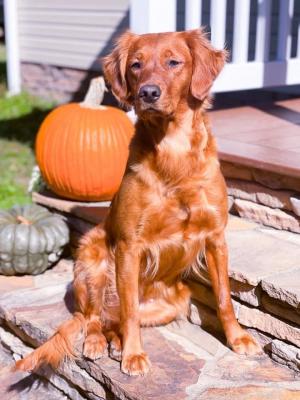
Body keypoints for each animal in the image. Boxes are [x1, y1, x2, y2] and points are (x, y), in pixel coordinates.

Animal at [15, 28, 262, 376]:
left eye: (174, 62)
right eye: (135, 65)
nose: (148, 93)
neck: (173, 152)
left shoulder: (215, 237)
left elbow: (225, 298)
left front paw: (238, 338)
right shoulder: (130, 246)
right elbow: (129, 309)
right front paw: (133, 355)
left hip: (175, 302)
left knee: (112, 322)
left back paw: (116, 342)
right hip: (92, 260)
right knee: (93, 317)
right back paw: (98, 342)